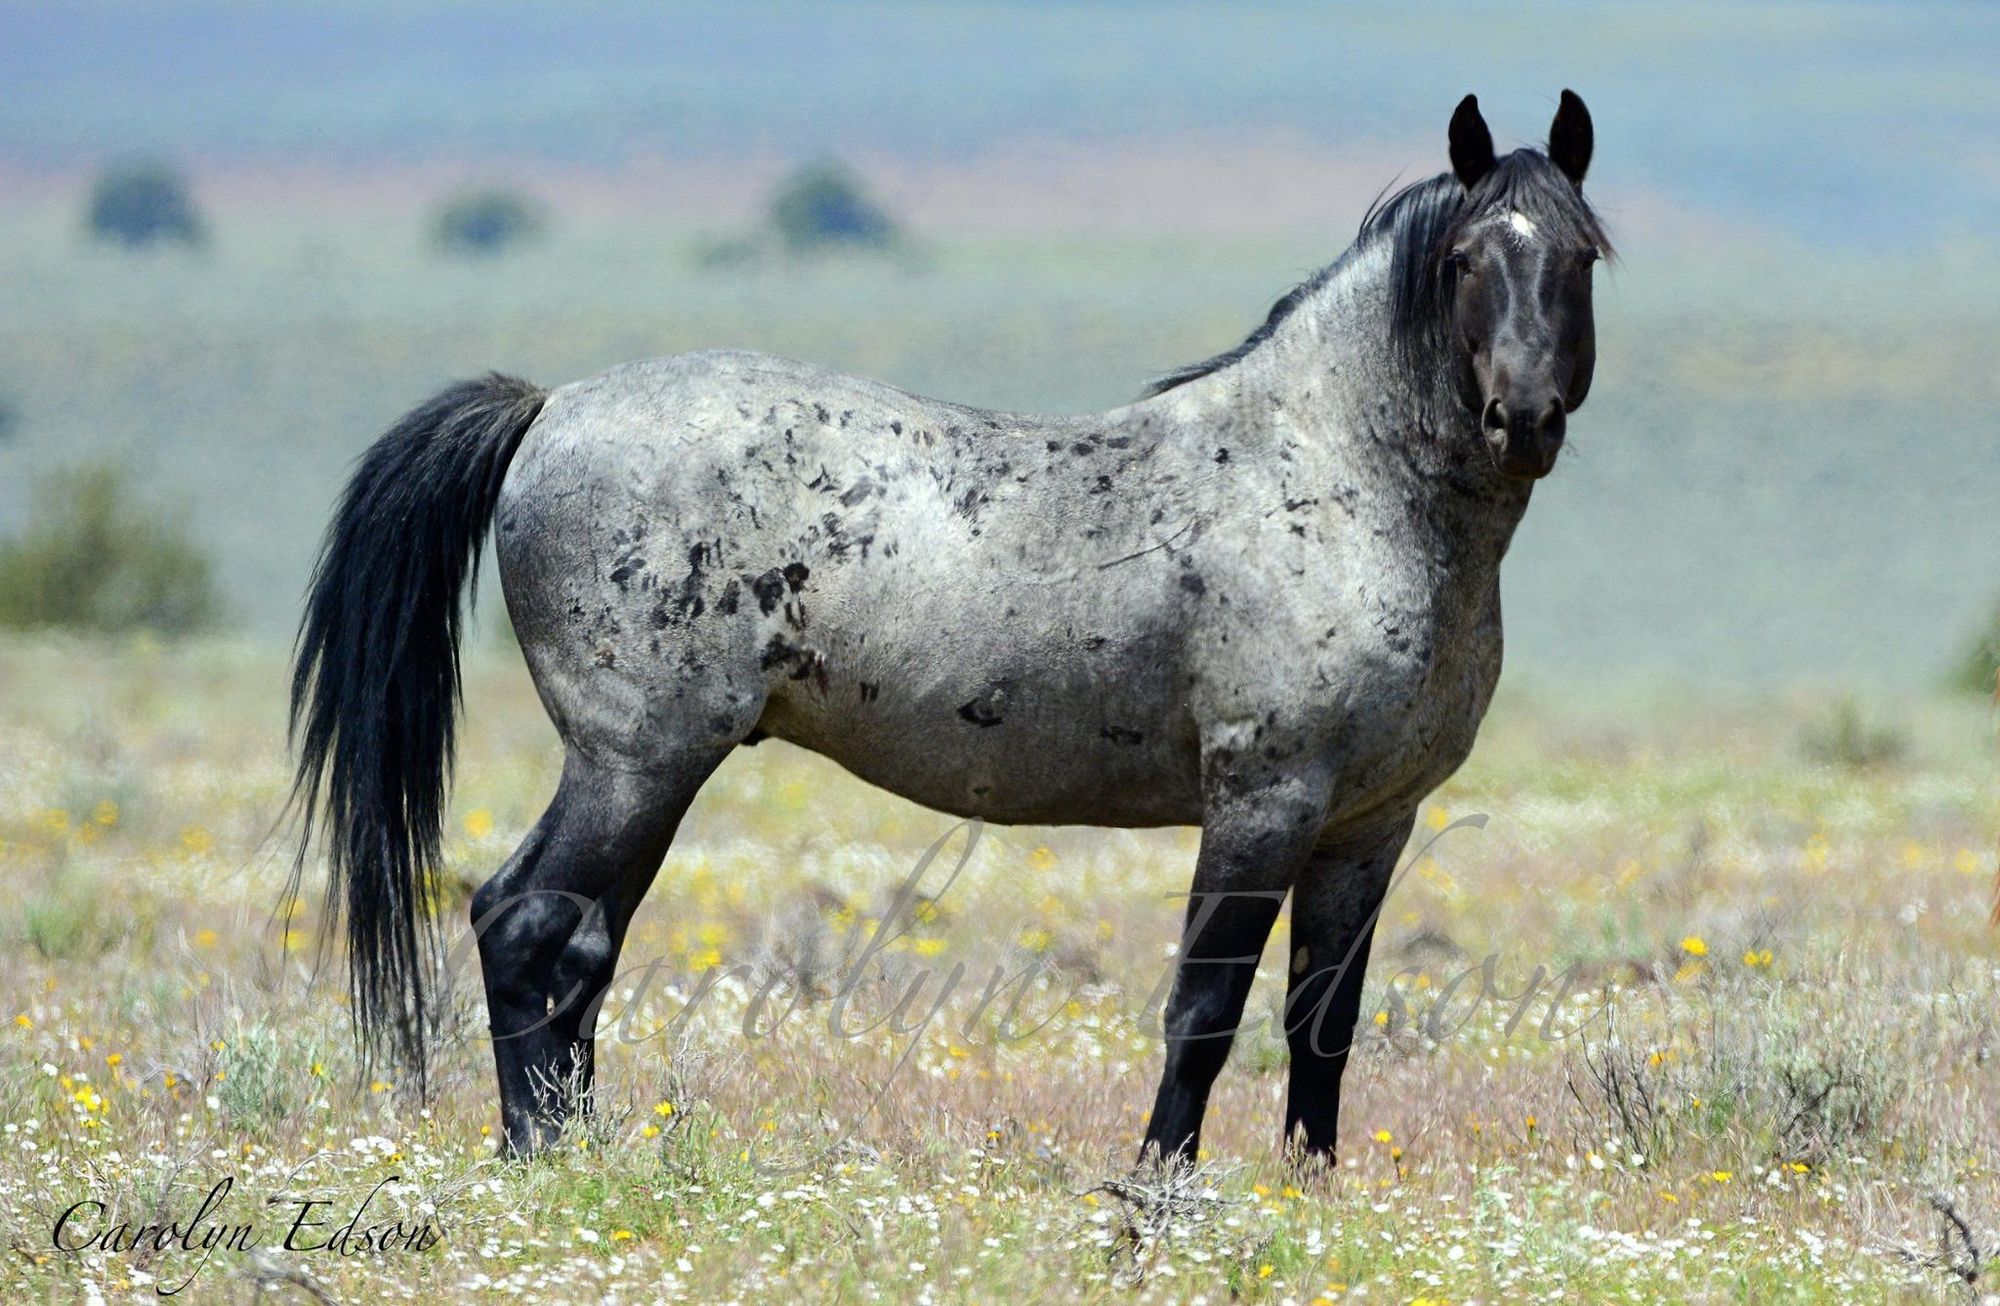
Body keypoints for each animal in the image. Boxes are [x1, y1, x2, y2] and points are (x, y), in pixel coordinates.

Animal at [290, 91, 1608, 1164]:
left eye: (1583, 255)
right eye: (1465, 258)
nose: (1523, 416)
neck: (1330, 472)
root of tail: (551, 405)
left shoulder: (1368, 823)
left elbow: (1319, 1020)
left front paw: (1306, 1186)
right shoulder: (1261, 801)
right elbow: (1203, 1010)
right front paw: (1158, 1187)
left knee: (575, 945)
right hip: (636, 760)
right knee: (531, 924)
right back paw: (546, 1160)